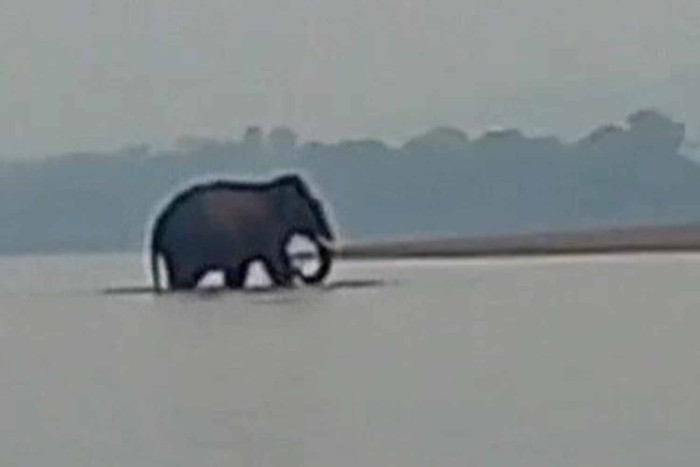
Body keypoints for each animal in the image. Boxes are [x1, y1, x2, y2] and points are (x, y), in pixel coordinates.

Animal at [149, 174, 335, 292]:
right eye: (316, 206)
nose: (300, 270)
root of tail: (159, 225)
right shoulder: (269, 233)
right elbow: (276, 265)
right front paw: (288, 279)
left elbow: (239, 273)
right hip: (183, 252)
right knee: (183, 280)